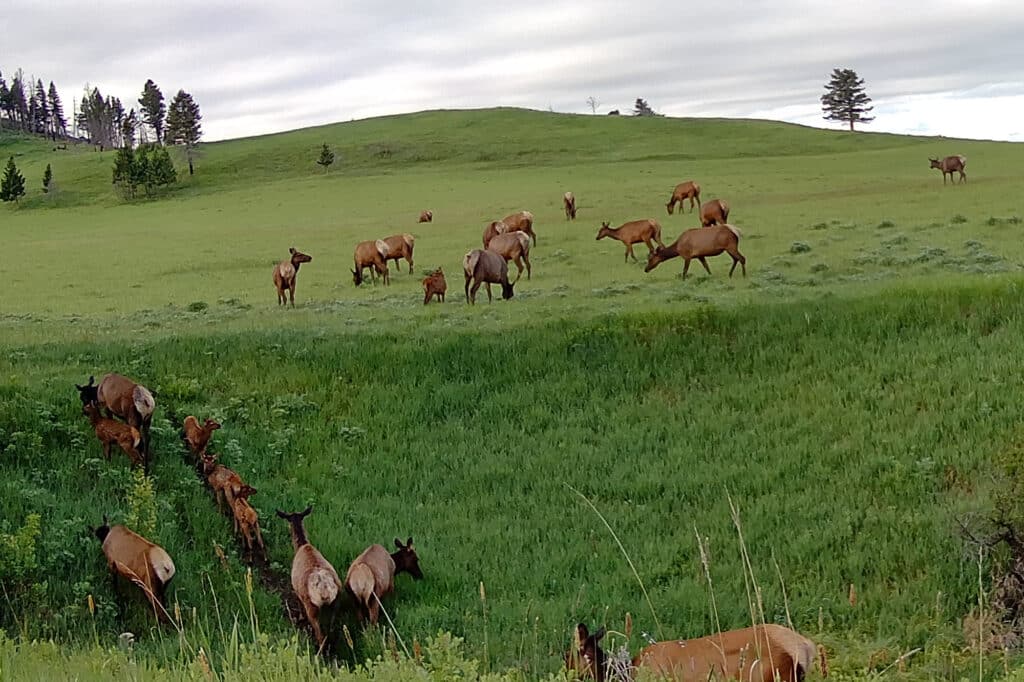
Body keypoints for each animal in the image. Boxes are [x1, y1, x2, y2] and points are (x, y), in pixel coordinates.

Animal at [276, 507, 342, 650]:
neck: (302, 546)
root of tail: (325, 591)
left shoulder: (296, 589)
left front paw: (300, 617)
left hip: (312, 606)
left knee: (320, 635)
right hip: (336, 603)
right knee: (331, 630)